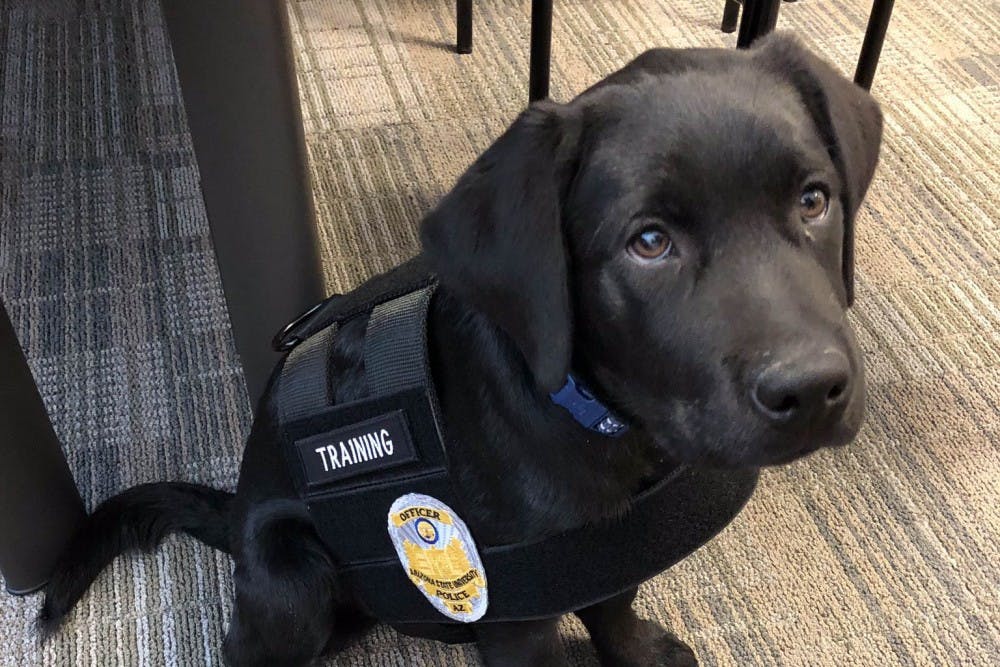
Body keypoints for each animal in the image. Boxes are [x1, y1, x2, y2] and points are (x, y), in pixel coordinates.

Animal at [39, 35, 884, 667]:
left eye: (814, 199)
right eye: (649, 242)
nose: (813, 389)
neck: (598, 420)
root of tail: (239, 501)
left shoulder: (603, 556)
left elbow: (615, 611)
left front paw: (637, 650)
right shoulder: (512, 616)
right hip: (289, 573)